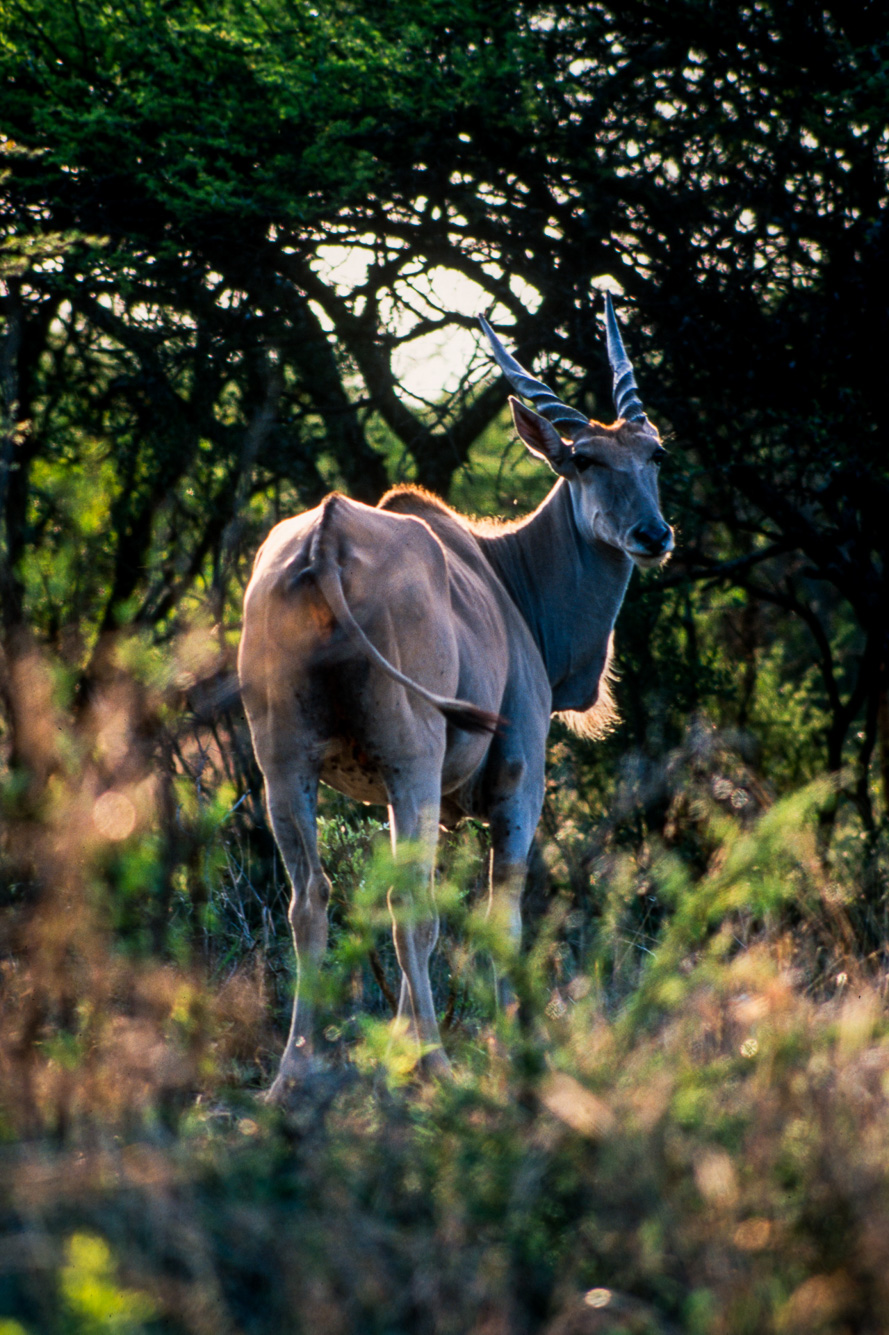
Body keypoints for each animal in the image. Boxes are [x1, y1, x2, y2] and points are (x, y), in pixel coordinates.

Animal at [238, 295, 667, 1094]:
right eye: (586, 460)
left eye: (653, 455)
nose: (654, 534)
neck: (509, 577)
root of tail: (325, 542)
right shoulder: (516, 782)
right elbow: (498, 915)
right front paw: (502, 1047)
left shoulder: (419, 795)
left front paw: (396, 1048)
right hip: (409, 759)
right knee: (404, 902)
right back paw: (435, 1063)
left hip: (285, 767)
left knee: (310, 898)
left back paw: (293, 1073)